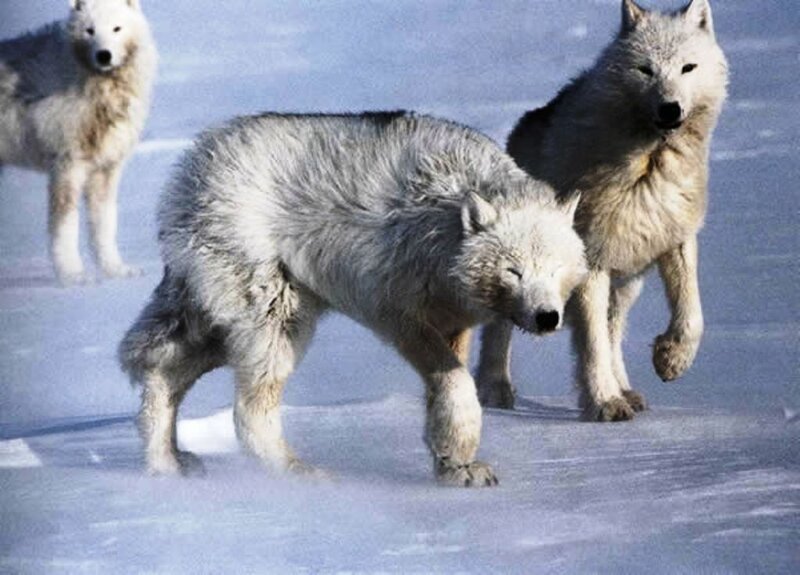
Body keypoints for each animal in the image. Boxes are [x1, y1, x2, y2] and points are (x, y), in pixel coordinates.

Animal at [0, 0, 157, 285]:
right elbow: (65, 227)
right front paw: (73, 275)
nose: (104, 55)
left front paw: (116, 270)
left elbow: (105, 225)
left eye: (117, 28)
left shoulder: (106, 168)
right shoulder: (67, 165)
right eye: (90, 31)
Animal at [119, 112, 587, 486]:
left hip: (226, 328)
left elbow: (448, 395)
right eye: (514, 271)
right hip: (277, 326)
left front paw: (453, 466)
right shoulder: (399, 318)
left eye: (554, 269)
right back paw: (299, 475)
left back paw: (166, 466)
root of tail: (193, 164)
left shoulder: (454, 324)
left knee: (160, 371)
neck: (441, 228)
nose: (547, 318)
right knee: (247, 413)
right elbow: (456, 385)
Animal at [476, 0, 728, 421]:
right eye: (646, 69)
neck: (647, 165)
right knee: (499, 329)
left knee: (613, 332)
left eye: (687, 68)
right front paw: (604, 403)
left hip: (626, 285)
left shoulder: (677, 240)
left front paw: (670, 360)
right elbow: (591, 345)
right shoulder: (592, 262)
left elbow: (692, 315)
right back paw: (494, 390)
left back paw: (627, 390)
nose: (670, 108)